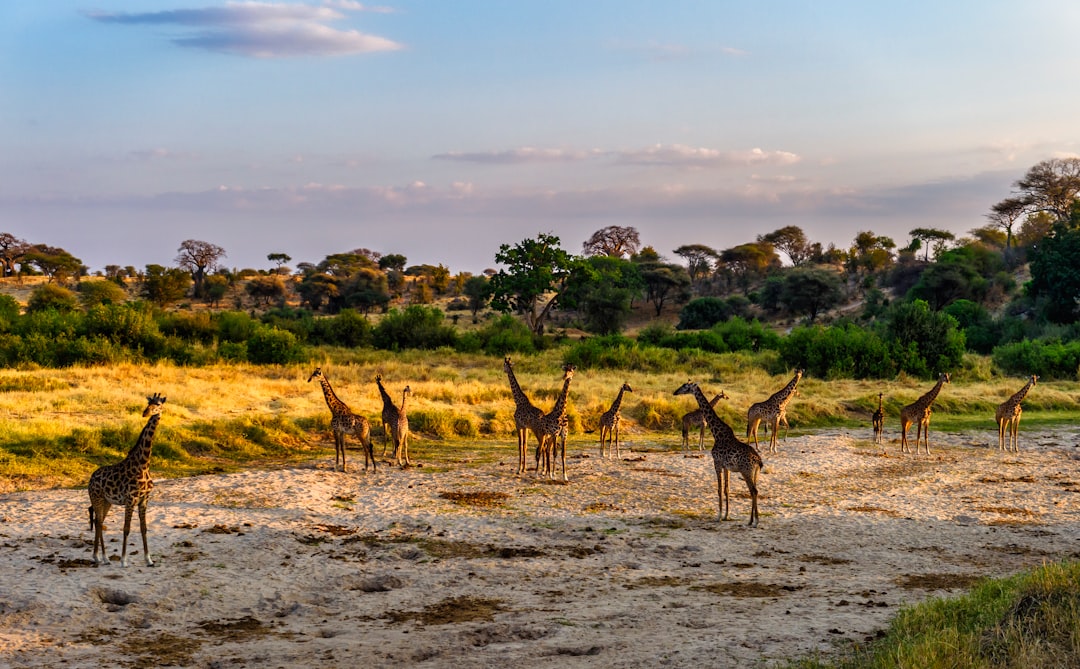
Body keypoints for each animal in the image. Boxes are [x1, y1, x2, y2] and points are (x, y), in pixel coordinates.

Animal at [87, 395, 166, 566]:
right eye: (148, 403)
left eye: (158, 404)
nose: (145, 412)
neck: (143, 464)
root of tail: (91, 478)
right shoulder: (130, 499)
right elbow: (126, 528)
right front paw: (123, 560)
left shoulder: (144, 499)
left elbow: (143, 528)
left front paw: (149, 559)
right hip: (97, 498)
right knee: (98, 522)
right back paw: (99, 557)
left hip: (107, 501)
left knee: (99, 522)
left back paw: (103, 558)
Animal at [669, 382, 764, 529]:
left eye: (685, 386)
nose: (675, 392)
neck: (716, 433)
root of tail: (758, 460)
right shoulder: (726, 467)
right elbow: (726, 489)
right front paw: (726, 515)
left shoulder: (717, 463)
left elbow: (719, 489)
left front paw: (718, 516)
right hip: (755, 473)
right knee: (754, 491)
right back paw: (750, 520)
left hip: (745, 471)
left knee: (753, 491)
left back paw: (756, 522)